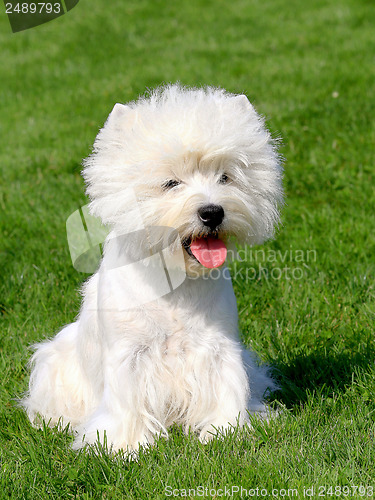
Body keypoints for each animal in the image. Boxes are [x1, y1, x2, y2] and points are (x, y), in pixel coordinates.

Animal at [22, 85, 284, 454]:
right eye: (171, 183)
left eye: (226, 177)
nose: (212, 212)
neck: (176, 284)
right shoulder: (129, 354)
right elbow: (127, 405)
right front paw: (124, 447)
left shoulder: (219, 348)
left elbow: (226, 390)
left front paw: (226, 432)